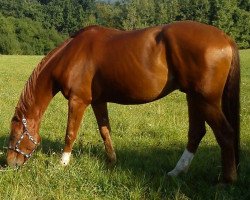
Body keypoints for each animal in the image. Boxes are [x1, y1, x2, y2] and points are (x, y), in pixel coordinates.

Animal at [6, 20, 240, 183]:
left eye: (15, 135)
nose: (9, 164)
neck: (71, 54)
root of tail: (225, 38)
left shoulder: (77, 101)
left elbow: (70, 133)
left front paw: (61, 164)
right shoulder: (98, 101)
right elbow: (105, 131)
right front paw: (111, 162)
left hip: (206, 100)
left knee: (225, 133)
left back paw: (227, 180)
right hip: (194, 97)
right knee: (197, 133)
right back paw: (176, 172)